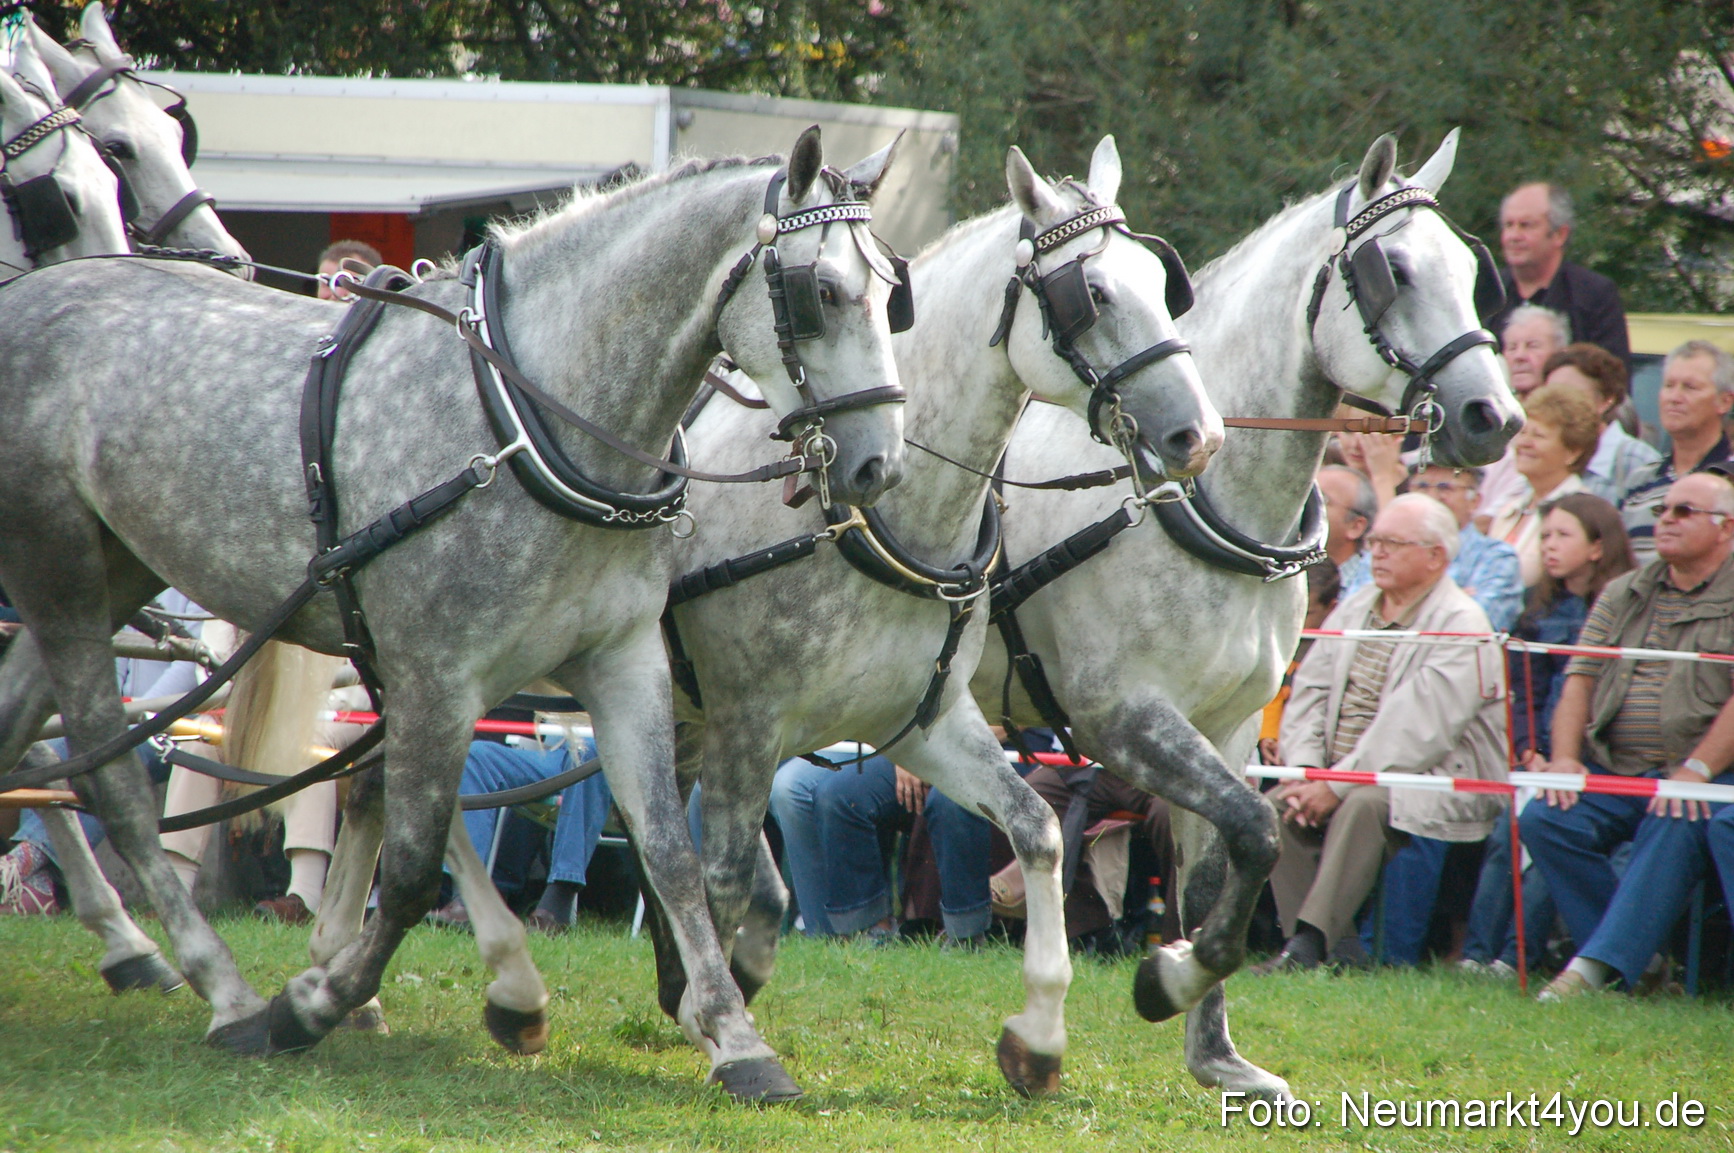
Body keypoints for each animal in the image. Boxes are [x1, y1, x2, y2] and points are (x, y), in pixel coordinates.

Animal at [0, 129, 907, 1101]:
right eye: (823, 291)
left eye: (894, 290)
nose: (880, 466)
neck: (525, 420)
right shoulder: (435, 673)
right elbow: (406, 868)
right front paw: (312, 1003)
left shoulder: (622, 660)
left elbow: (668, 848)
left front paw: (734, 1037)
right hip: (57, 568)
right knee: (112, 774)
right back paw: (227, 988)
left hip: (116, 567)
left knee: (32, 736)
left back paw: (141, 949)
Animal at [966, 130, 1523, 1099]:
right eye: (1394, 271)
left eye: (1469, 267)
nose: (1495, 415)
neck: (1195, 498)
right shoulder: (1124, 718)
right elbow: (1259, 835)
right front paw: (1169, 978)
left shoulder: (1224, 725)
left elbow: (1220, 866)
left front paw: (1213, 1047)